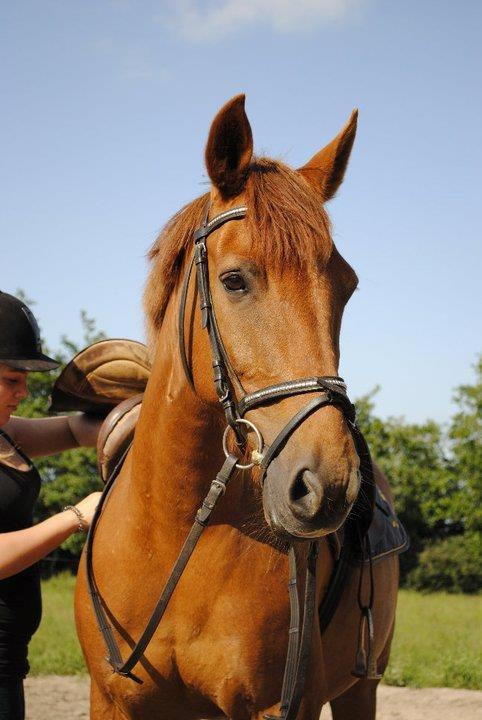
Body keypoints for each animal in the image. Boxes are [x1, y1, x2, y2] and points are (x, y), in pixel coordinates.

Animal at [76, 97, 400, 720]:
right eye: (233, 280)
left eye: (345, 286)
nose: (328, 484)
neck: (173, 530)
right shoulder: (110, 699)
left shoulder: (276, 705)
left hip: (362, 687)